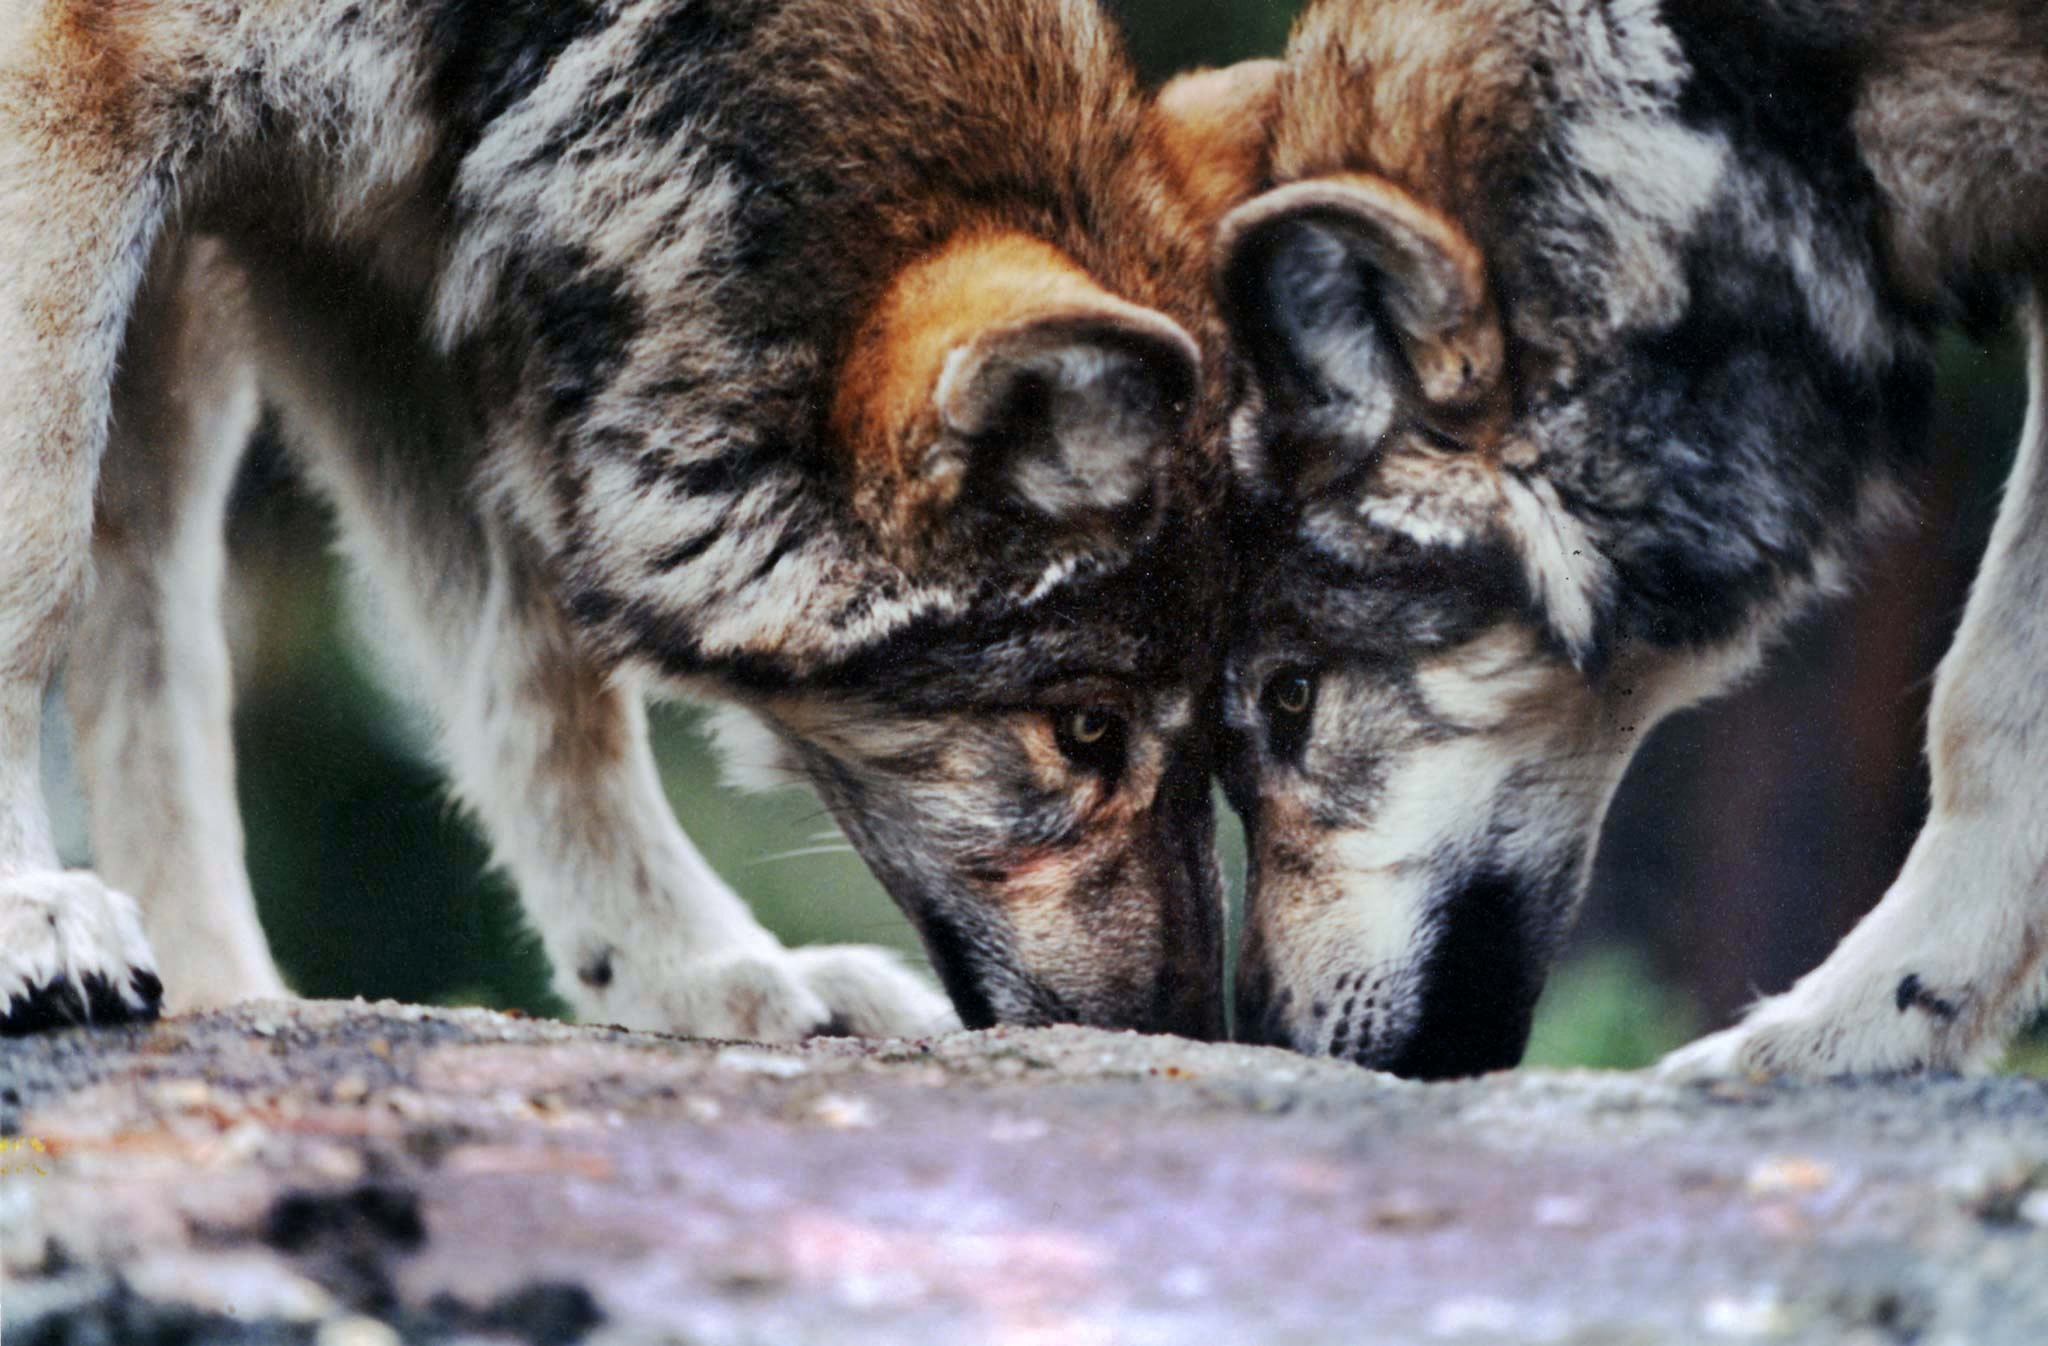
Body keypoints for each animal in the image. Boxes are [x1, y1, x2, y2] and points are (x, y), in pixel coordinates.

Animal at [4, 0, 1245, 1040]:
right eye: (1086, 729)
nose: (1186, 1027)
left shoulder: (380, 263)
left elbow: (549, 685)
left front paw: (684, 971)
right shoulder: (82, 83)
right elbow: (31, 565)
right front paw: (27, 911)